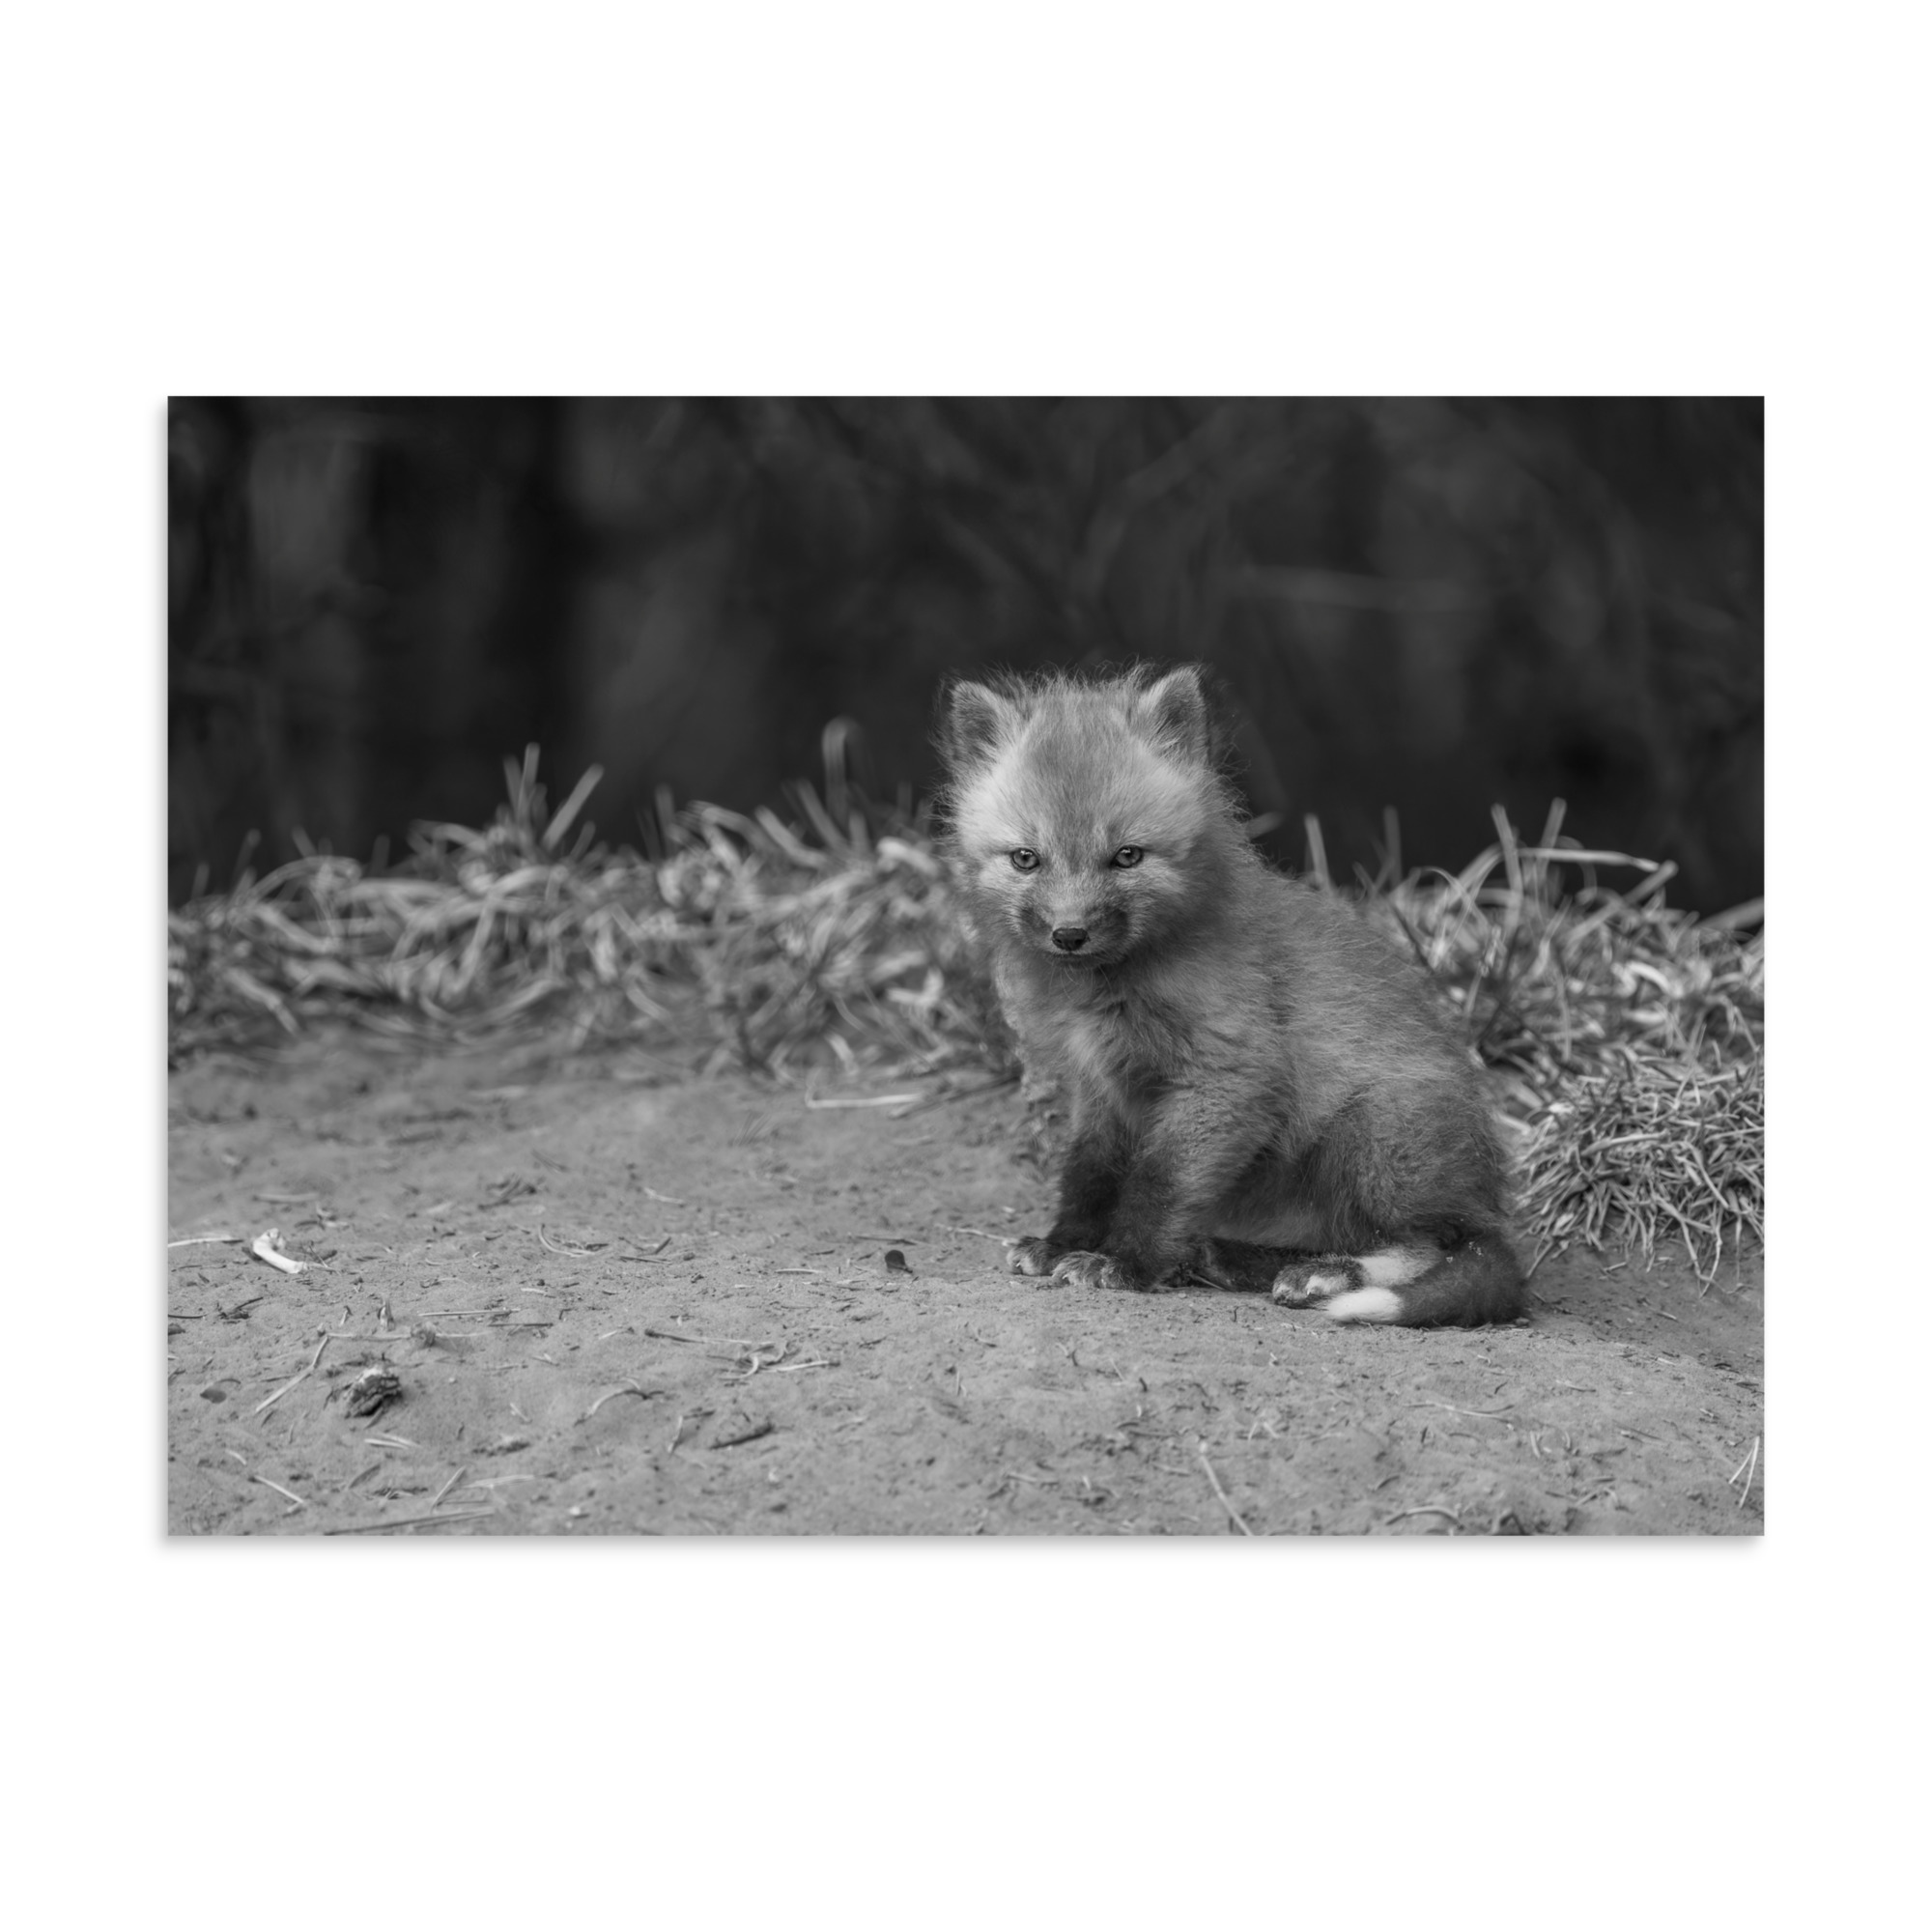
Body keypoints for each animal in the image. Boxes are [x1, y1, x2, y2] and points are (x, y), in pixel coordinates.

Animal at [937, 662, 1524, 1326]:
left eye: (1127, 856)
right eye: (1026, 859)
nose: (1069, 934)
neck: (1110, 992)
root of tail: (1485, 1197)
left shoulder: (1228, 1077)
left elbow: (1158, 1183)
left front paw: (1125, 1263)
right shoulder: (1101, 1088)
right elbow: (1089, 1175)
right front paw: (1064, 1243)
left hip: (1372, 1135)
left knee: (1436, 1245)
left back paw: (1325, 1275)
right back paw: (1231, 1258)